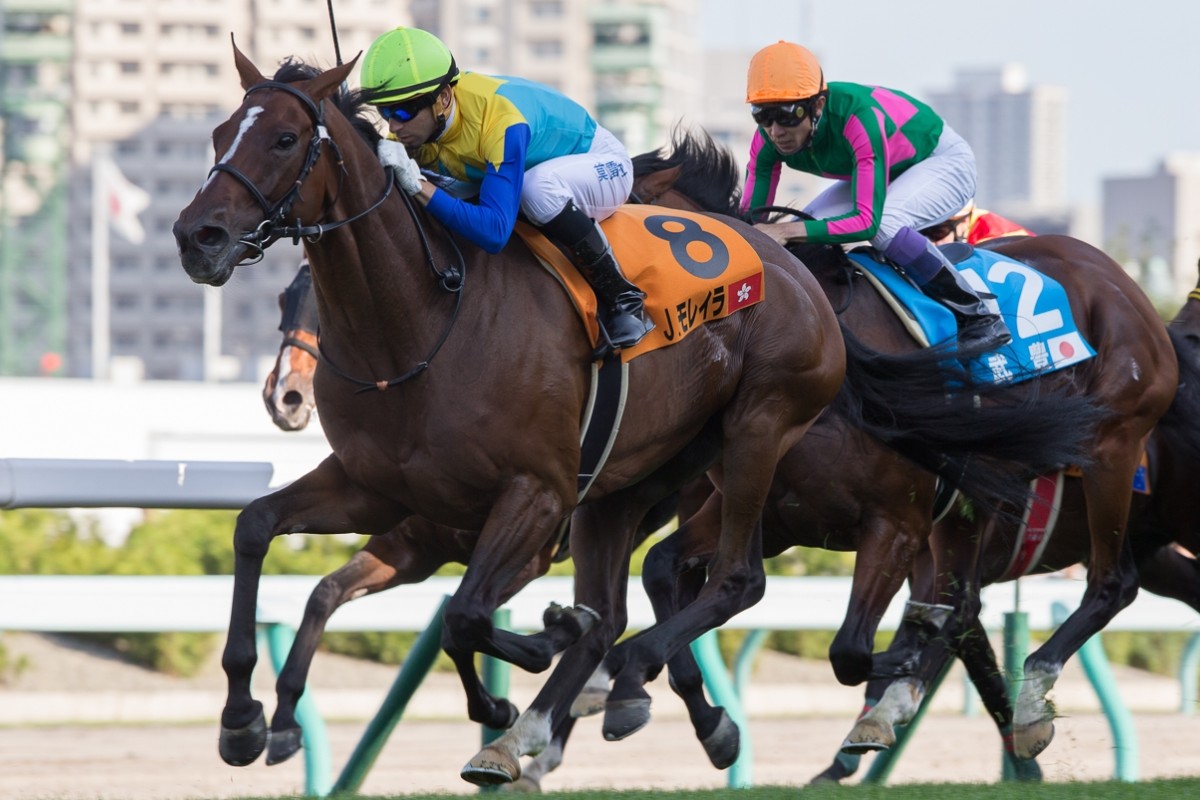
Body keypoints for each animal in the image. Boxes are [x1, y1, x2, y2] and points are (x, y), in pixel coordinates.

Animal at [633, 126, 1176, 762]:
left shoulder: (895, 521)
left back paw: (1030, 700)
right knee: (967, 600)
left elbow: (848, 651)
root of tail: (1124, 284)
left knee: (1112, 583)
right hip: (974, 501)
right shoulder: (772, 510)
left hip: (1111, 449)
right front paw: (699, 718)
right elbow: (665, 568)